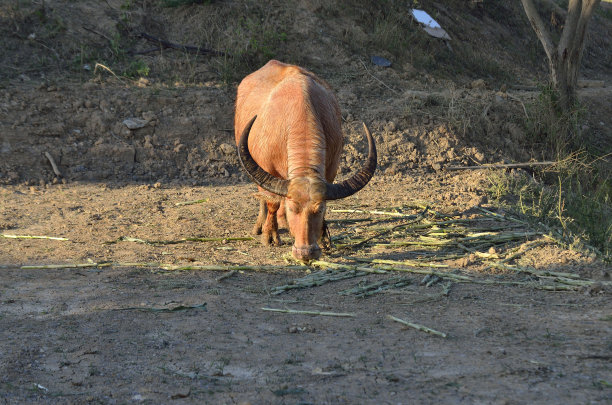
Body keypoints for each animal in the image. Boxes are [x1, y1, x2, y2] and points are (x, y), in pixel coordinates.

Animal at [235, 60, 376, 262]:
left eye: (320, 209)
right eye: (293, 208)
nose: (306, 252)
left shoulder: (331, 169)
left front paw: (324, 238)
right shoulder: (266, 167)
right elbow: (272, 202)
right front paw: (270, 235)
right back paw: (261, 225)